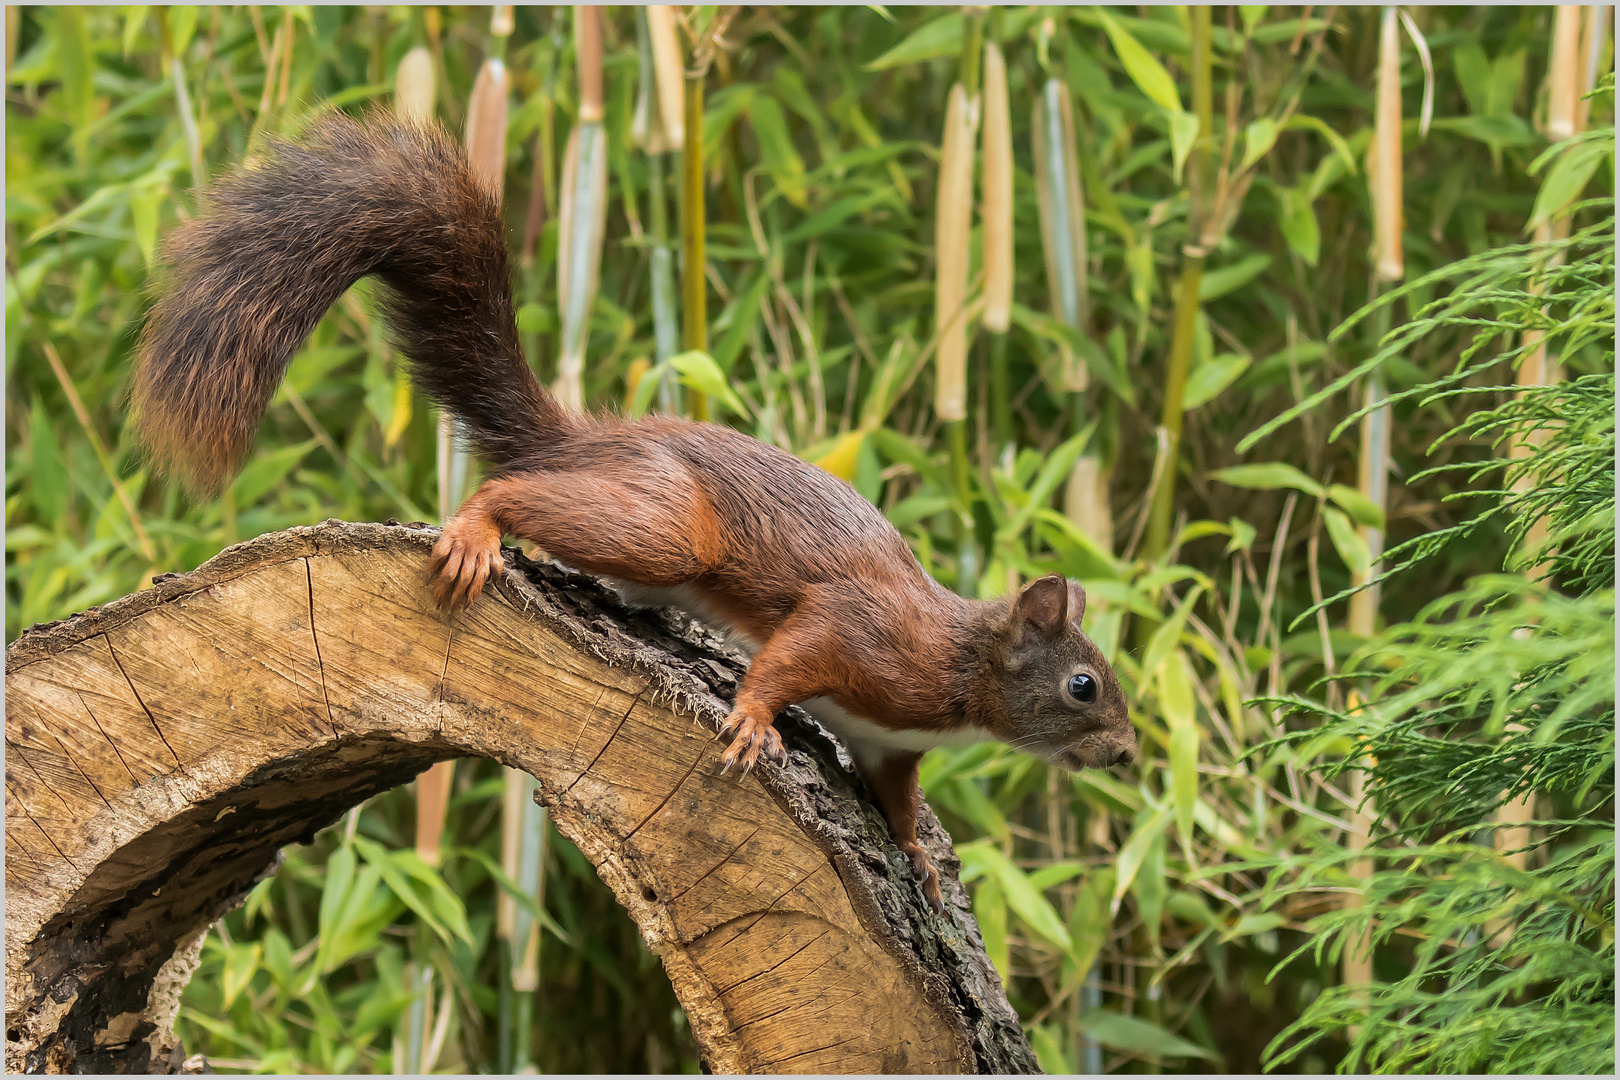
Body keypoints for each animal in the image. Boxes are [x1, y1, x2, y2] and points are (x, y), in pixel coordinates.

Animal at [132, 116, 1134, 913]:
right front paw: (754, 720)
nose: (1126, 756)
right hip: (667, 527)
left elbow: (897, 802)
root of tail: (594, 441)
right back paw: (477, 531)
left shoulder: (889, 742)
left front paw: (919, 858)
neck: (963, 676)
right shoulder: (870, 632)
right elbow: (794, 652)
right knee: (518, 492)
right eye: (1084, 684)